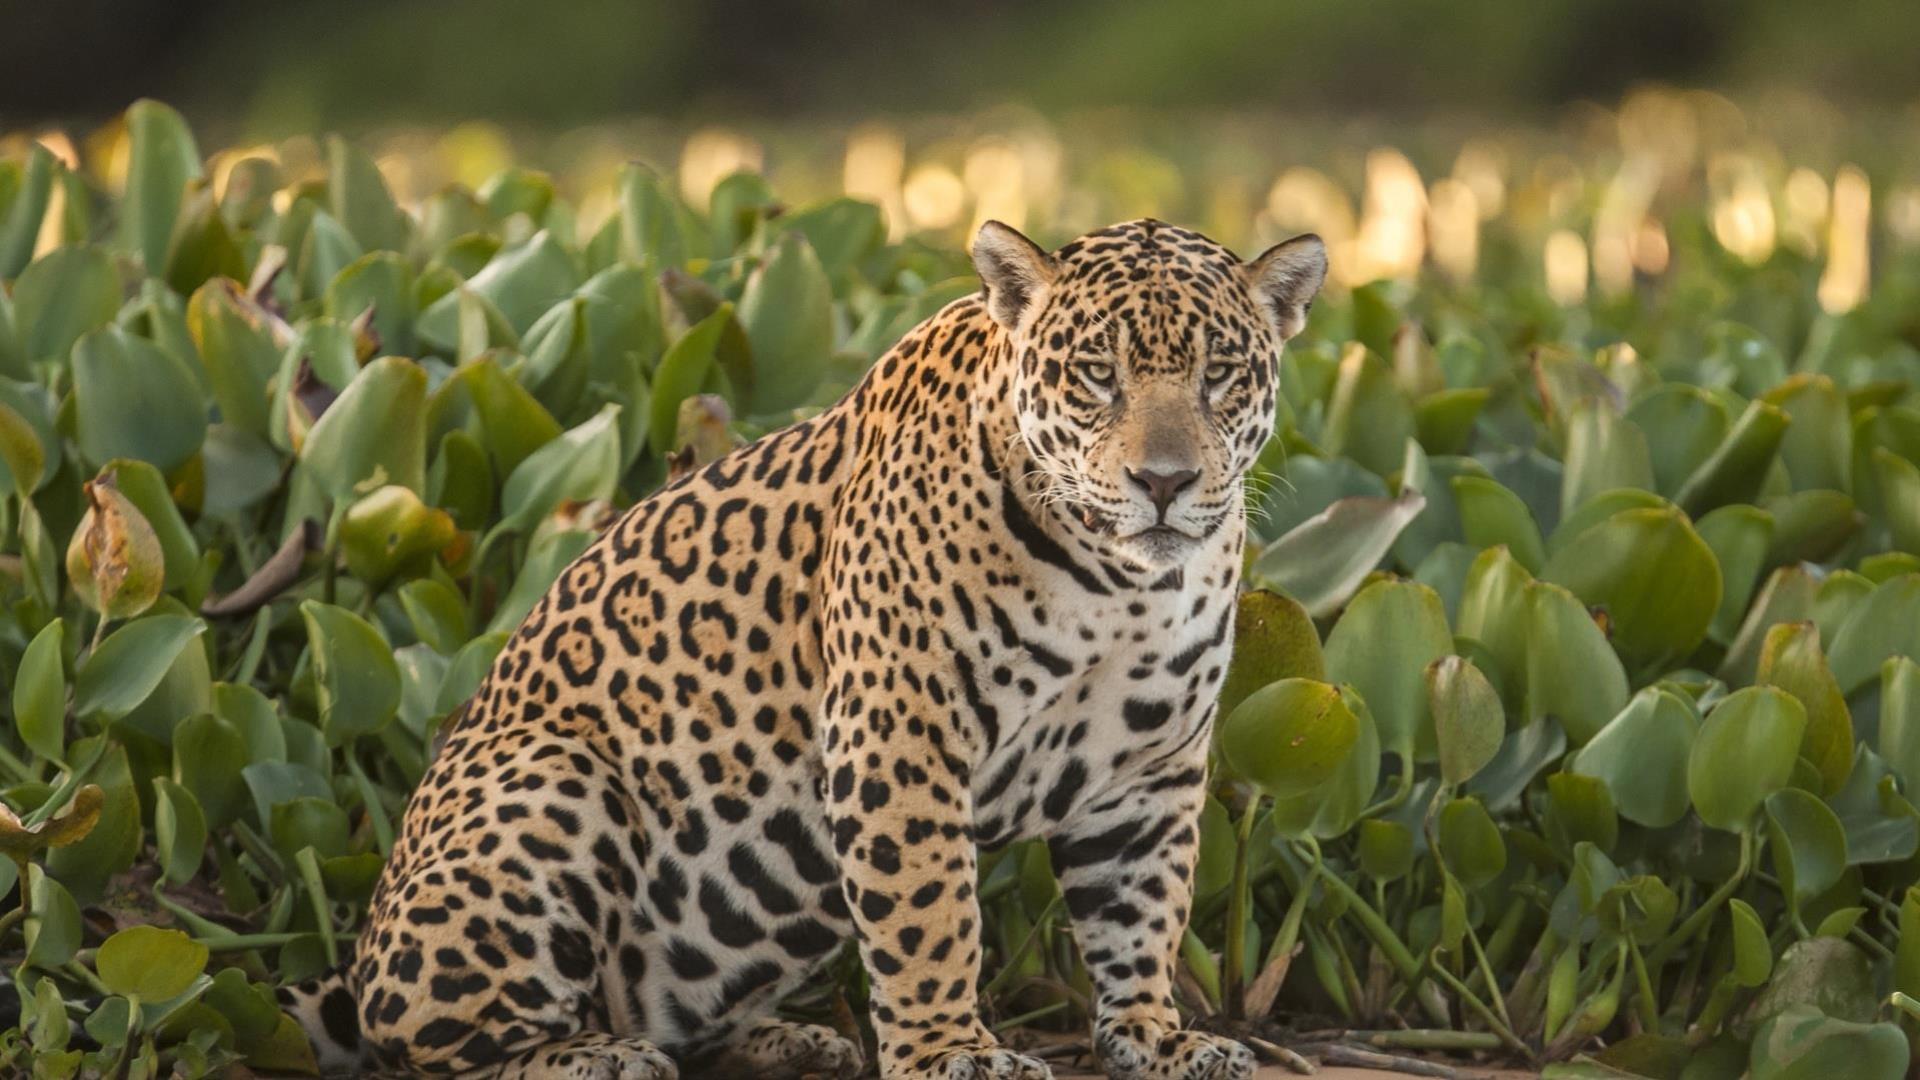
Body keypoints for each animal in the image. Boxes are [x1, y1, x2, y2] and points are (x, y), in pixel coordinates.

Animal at [282, 217, 1327, 1079]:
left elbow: (1144, 909)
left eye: (1220, 375)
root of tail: (360, 952)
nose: (1164, 481)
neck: (1121, 586)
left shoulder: (1151, 767)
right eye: (1097, 375)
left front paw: (1157, 1036)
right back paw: (594, 1057)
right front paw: (950, 1052)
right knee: (425, 1042)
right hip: (554, 783)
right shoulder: (900, 732)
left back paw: (789, 1041)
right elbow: (930, 915)